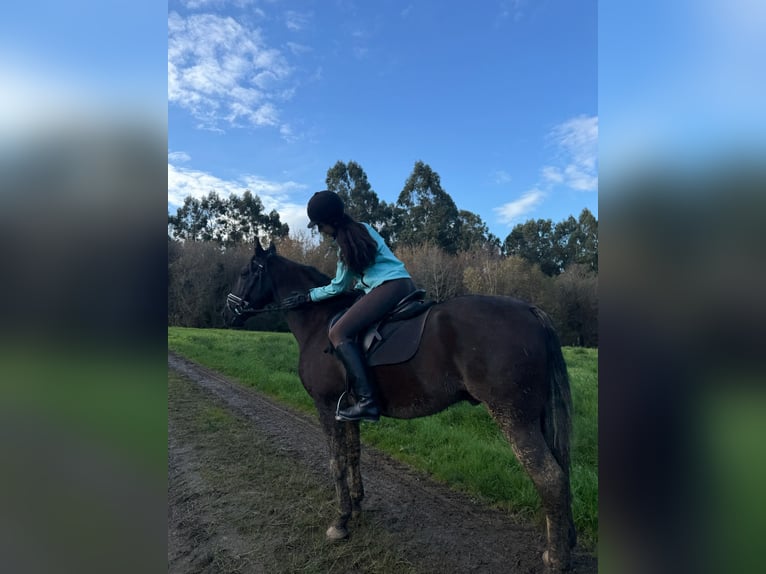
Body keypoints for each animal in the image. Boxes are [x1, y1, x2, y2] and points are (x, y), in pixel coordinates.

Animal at [225, 241, 576, 572]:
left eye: (245, 272)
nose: (229, 312)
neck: (319, 323)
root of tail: (529, 310)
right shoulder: (348, 409)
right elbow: (353, 455)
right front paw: (357, 506)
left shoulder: (325, 407)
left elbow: (335, 462)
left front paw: (340, 521)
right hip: (536, 417)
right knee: (562, 471)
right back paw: (565, 545)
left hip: (514, 418)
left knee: (550, 478)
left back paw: (557, 559)